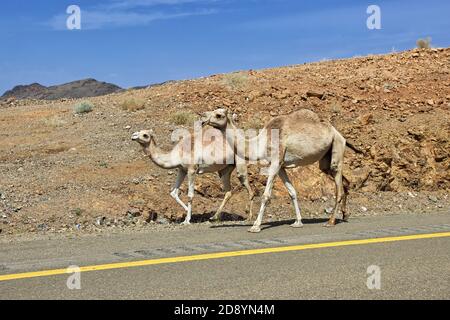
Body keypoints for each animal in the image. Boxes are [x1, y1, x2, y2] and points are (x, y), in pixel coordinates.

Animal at [203, 107, 356, 232]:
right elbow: (292, 192)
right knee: (344, 182)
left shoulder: (275, 162)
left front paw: (256, 226)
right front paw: (298, 222)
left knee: (338, 186)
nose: (203, 117)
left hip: (337, 148)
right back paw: (344, 214)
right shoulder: (281, 166)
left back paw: (331, 221)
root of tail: (340, 135)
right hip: (325, 159)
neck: (261, 143)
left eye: (218, 115)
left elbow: (265, 195)